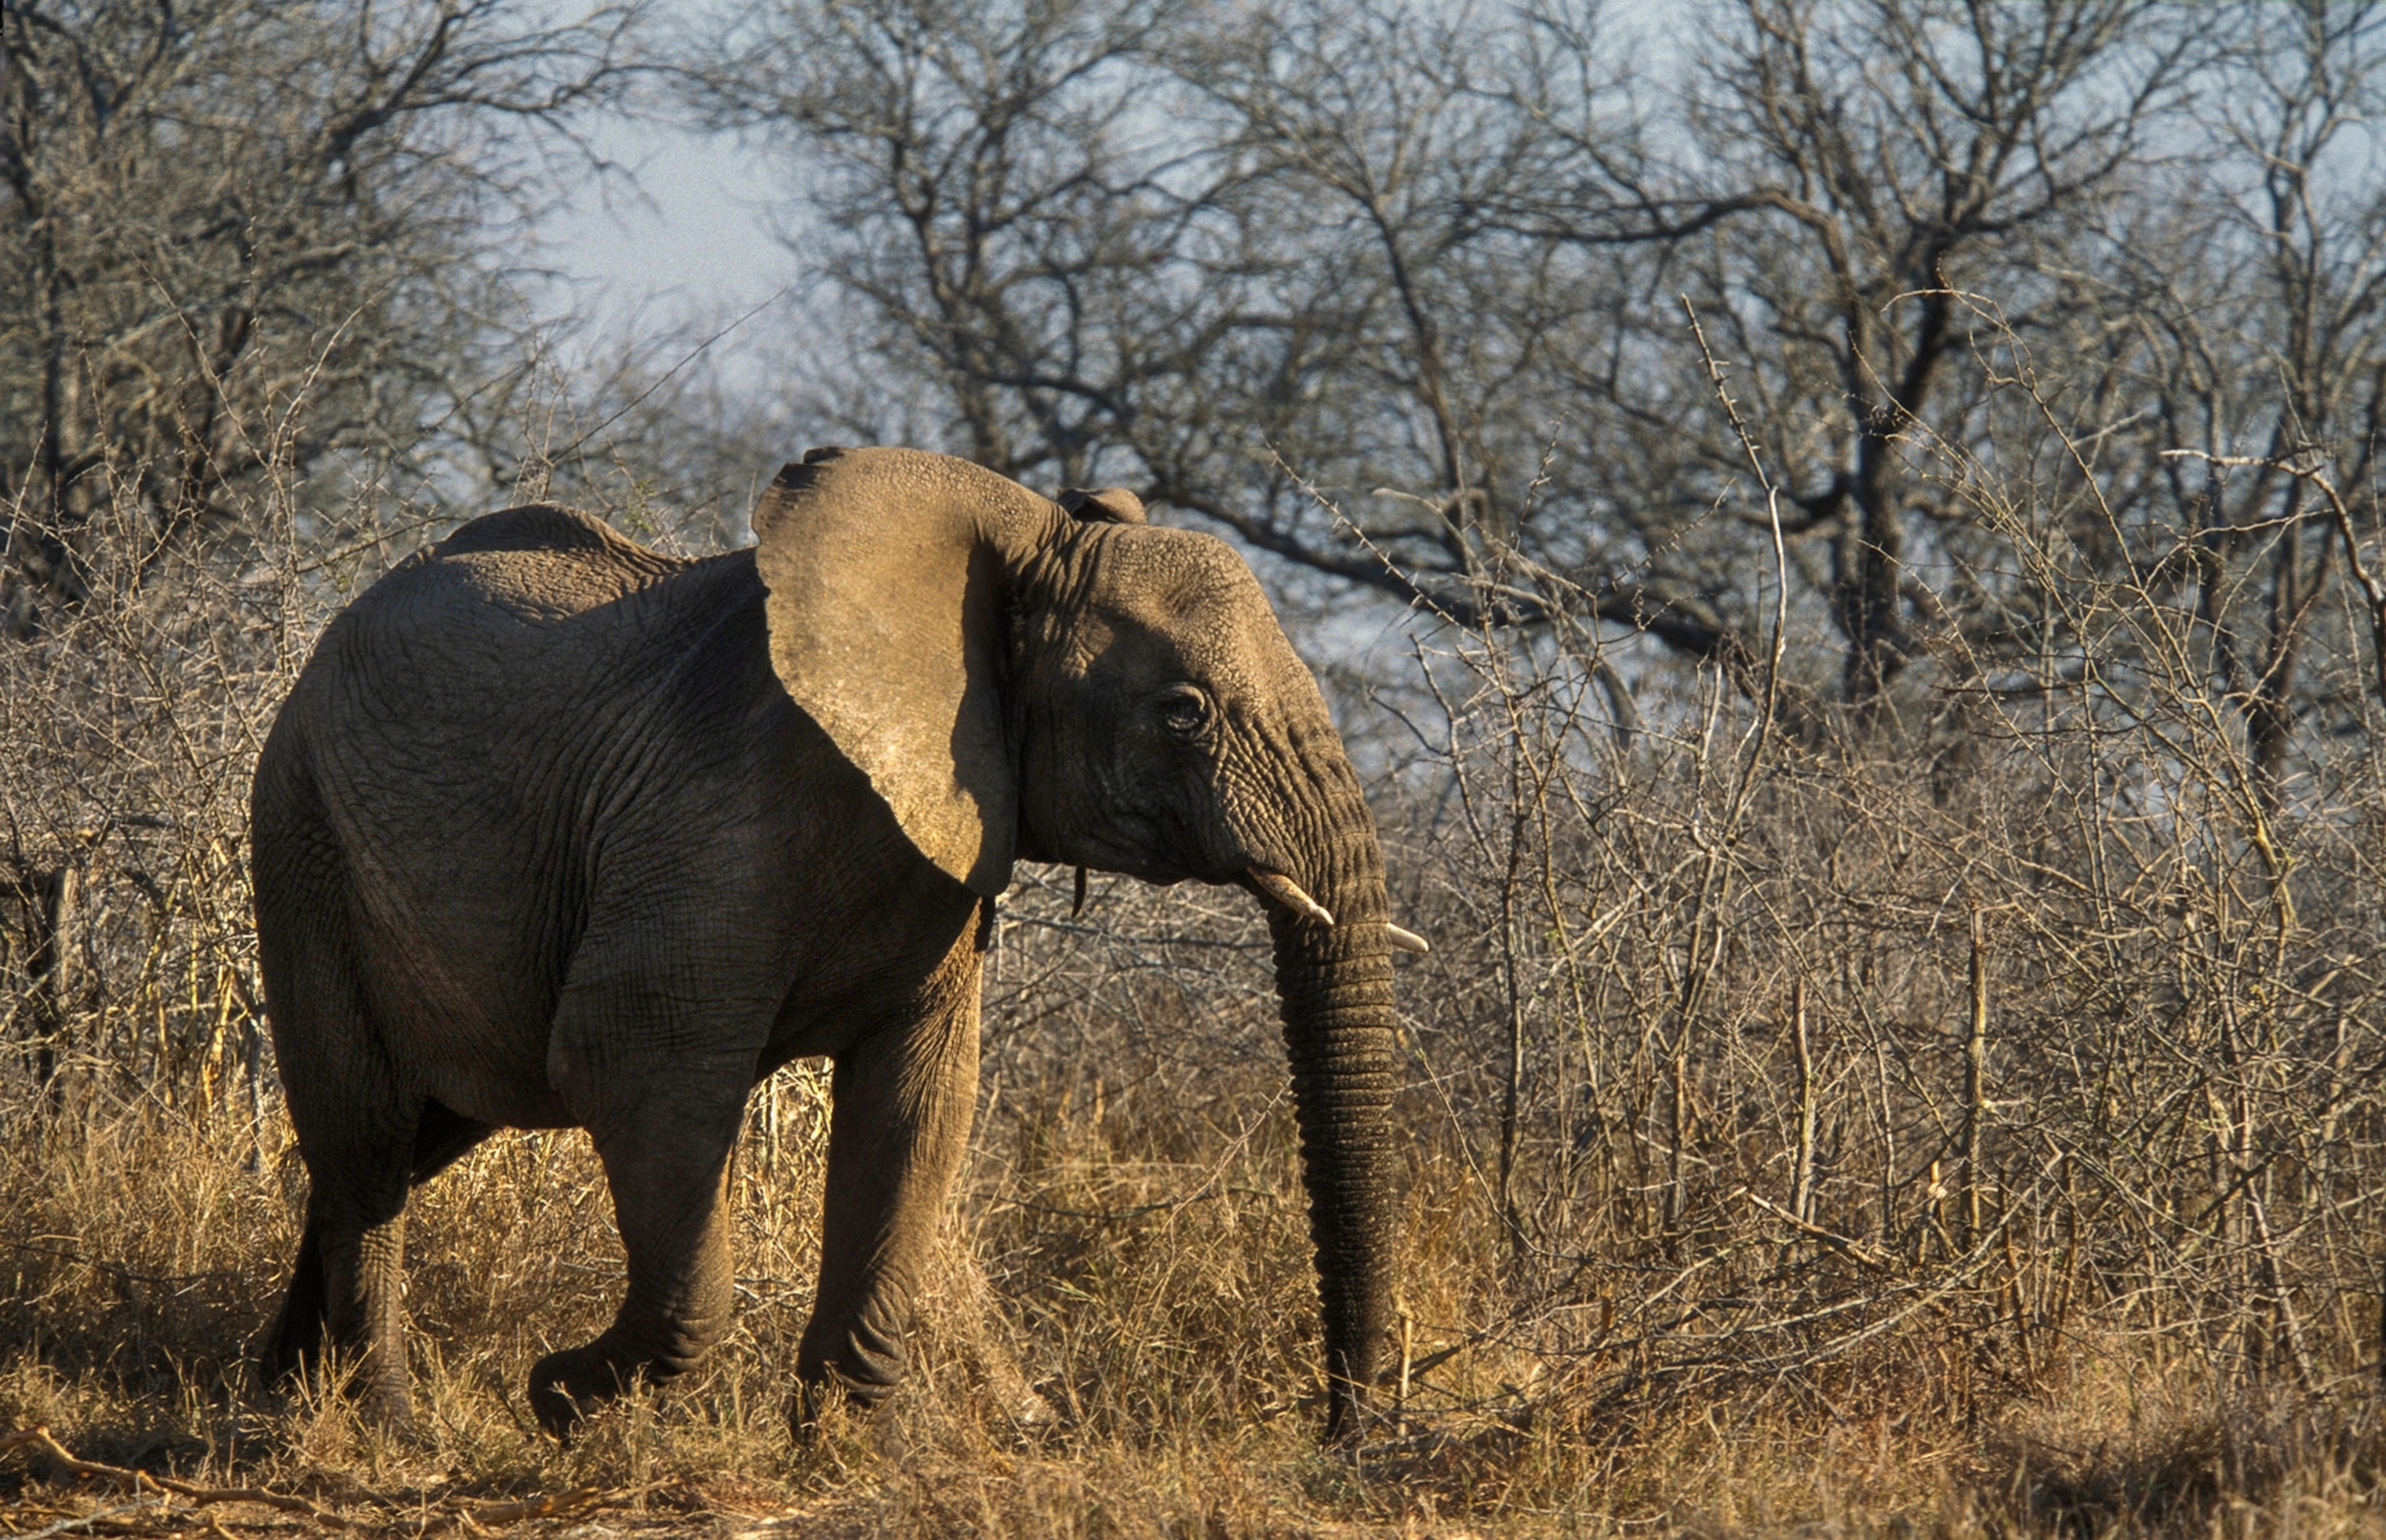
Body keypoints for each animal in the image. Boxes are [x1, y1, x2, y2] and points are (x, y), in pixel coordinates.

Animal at [249, 446, 1424, 1442]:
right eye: (1182, 712)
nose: (1341, 1430)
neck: (1019, 537)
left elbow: (917, 1100)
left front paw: (860, 1451)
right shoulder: (713, 810)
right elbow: (631, 1062)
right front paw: (561, 1396)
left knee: (414, 1135)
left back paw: (277, 1396)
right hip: (303, 837)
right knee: (366, 1134)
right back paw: (388, 1428)